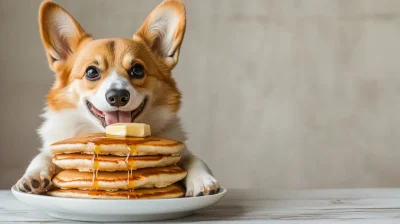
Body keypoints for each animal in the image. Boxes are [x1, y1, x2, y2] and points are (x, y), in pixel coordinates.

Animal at [16, 0, 219, 197]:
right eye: (91, 72)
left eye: (137, 70)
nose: (118, 96)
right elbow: (43, 156)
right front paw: (33, 177)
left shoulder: (179, 148)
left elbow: (193, 159)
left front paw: (203, 181)